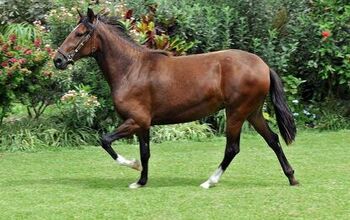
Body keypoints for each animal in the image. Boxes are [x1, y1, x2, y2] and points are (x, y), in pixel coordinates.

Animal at [54, 7, 298, 188]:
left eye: (79, 33)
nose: (58, 60)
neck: (132, 69)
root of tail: (263, 65)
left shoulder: (135, 121)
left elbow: (105, 140)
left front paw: (133, 166)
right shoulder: (143, 124)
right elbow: (145, 152)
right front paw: (140, 181)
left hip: (236, 113)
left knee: (233, 148)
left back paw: (210, 181)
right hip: (253, 112)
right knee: (273, 140)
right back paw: (292, 177)